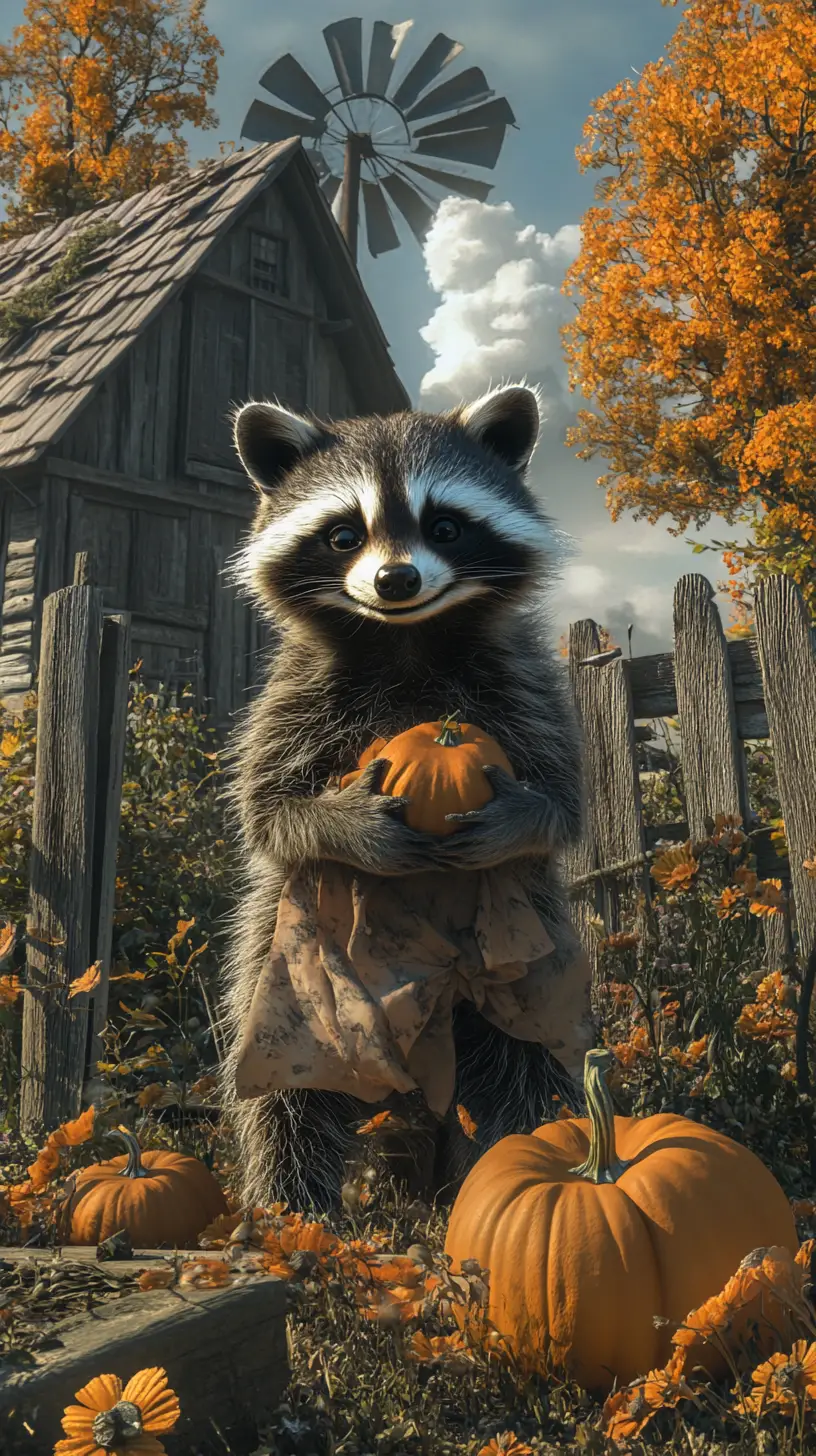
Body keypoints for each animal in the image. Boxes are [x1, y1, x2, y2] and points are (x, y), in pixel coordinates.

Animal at [219, 383, 590, 1211]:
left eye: (445, 525)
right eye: (342, 534)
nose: (396, 582)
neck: (407, 640)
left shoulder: (523, 677)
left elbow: (563, 797)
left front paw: (518, 815)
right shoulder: (292, 691)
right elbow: (269, 810)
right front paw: (346, 823)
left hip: (529, 957)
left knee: (528, 1062)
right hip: (287, 960)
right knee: (284, 1082)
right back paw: (291, 1207)